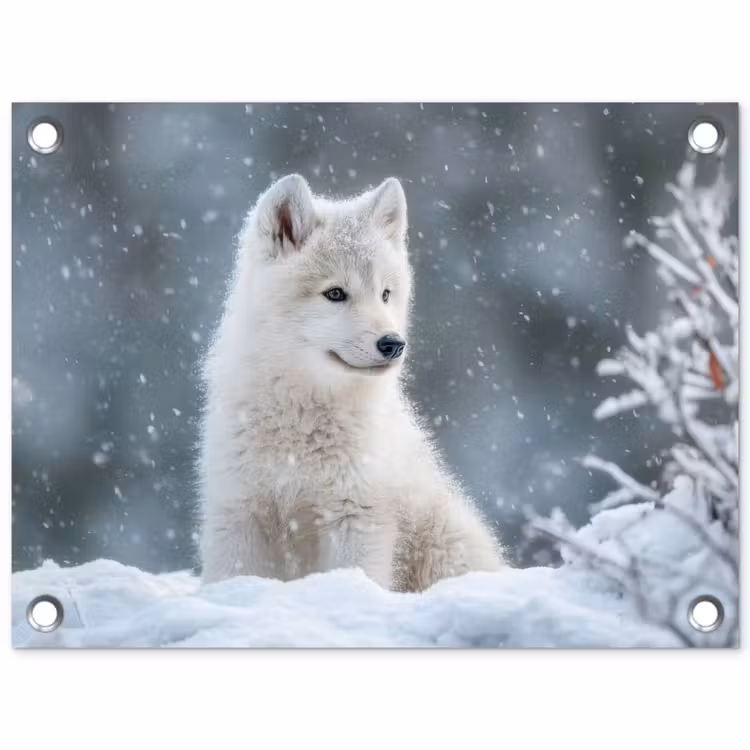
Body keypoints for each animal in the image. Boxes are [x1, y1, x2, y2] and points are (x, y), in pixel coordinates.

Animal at [198, 174, 505, 591]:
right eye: (335, 293)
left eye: (385, 294)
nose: (393, 344)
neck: (301, 418)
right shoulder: (239, 513)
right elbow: (232, 577)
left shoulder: (356, 516)